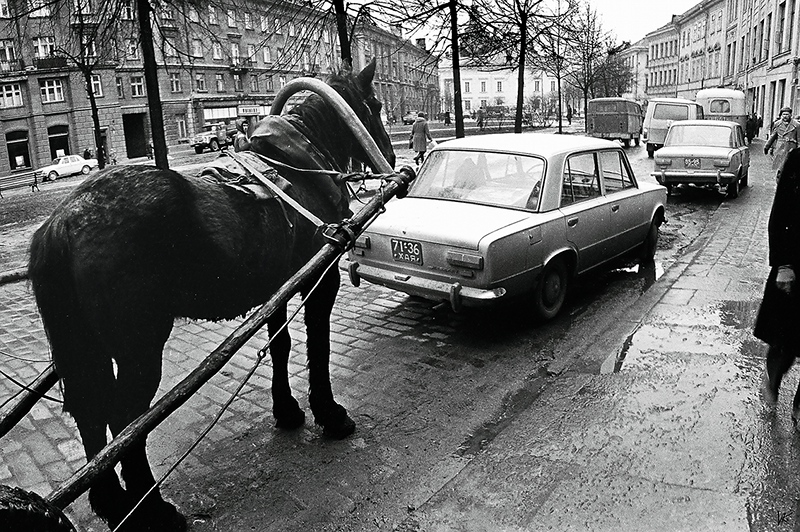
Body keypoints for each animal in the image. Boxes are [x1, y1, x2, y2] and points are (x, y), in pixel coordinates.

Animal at [28, 59, 396, 532]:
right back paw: (150, 508)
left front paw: (286, 410)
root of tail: (64, 220)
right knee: (125, 419)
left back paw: (110, 501)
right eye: (376, 106)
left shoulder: (276, 287)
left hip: (85, 344)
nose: (391, 156)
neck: (296, 168)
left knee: (90, 413)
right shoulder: (321, 279)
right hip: (139, 345)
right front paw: (328, 413)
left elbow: (280, 345)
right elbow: (318, 346)